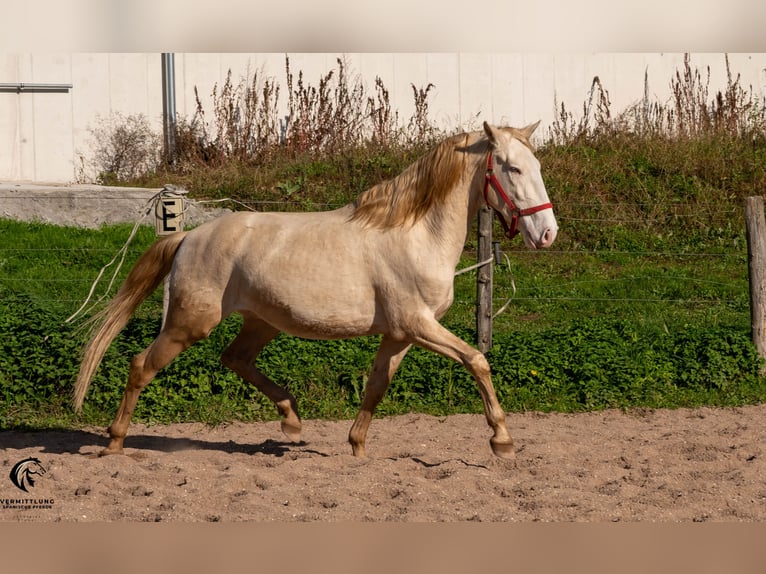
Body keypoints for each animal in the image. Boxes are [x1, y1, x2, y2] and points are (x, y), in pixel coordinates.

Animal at [73, 122, 560, 464]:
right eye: (512, 168)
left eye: (536, 167)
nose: (547, 233)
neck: (415, 234)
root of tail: (189, 237)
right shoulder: (419, 325)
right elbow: (477, 360)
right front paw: (502, 441)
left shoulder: (400, 334)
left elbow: (376, 386)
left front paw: (357, 446)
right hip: (189, 323)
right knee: (142, 366)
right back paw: (114, 444)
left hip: (261, 323)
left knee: (234, 359)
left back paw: (291, 421)